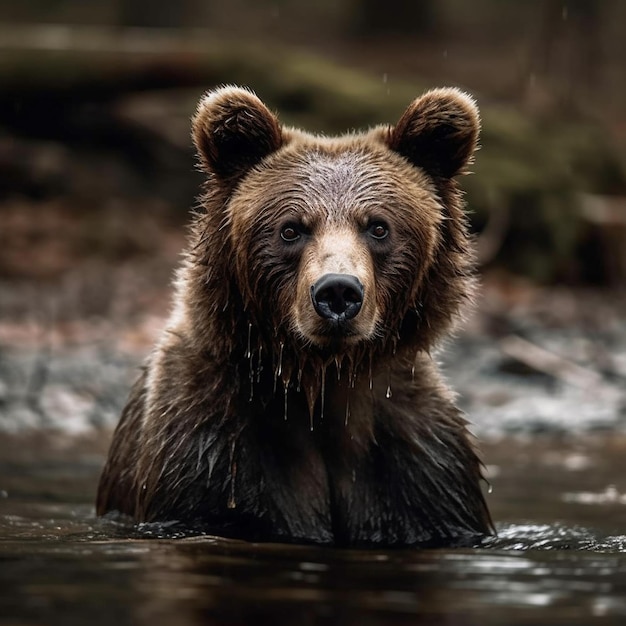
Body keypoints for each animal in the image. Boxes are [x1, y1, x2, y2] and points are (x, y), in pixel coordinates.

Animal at [95, 85, 490, 544]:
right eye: (291, 228)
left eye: (378, 227)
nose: (337, 291)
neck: (322, 381)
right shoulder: (207, 446)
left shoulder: (420, 462)